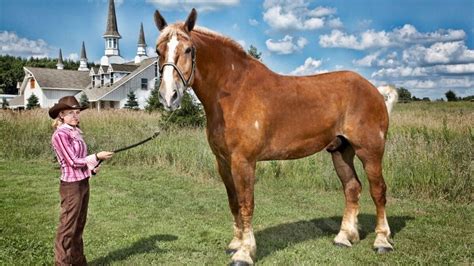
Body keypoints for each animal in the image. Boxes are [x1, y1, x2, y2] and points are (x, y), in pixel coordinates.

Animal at [154, 8, 398, 266]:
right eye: (158, 50)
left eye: (188, 49)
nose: (168, 96)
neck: (235, 92)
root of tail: (374, 90)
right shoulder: (223, 162)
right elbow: (233, 202)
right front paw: (235, 244)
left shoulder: (243, 161)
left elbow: (246, 203)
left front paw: (244, 252)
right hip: (341, 151)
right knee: (352, 188)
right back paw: (344, 237)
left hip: (370, 151)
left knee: (378, 191)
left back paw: (382, 241)